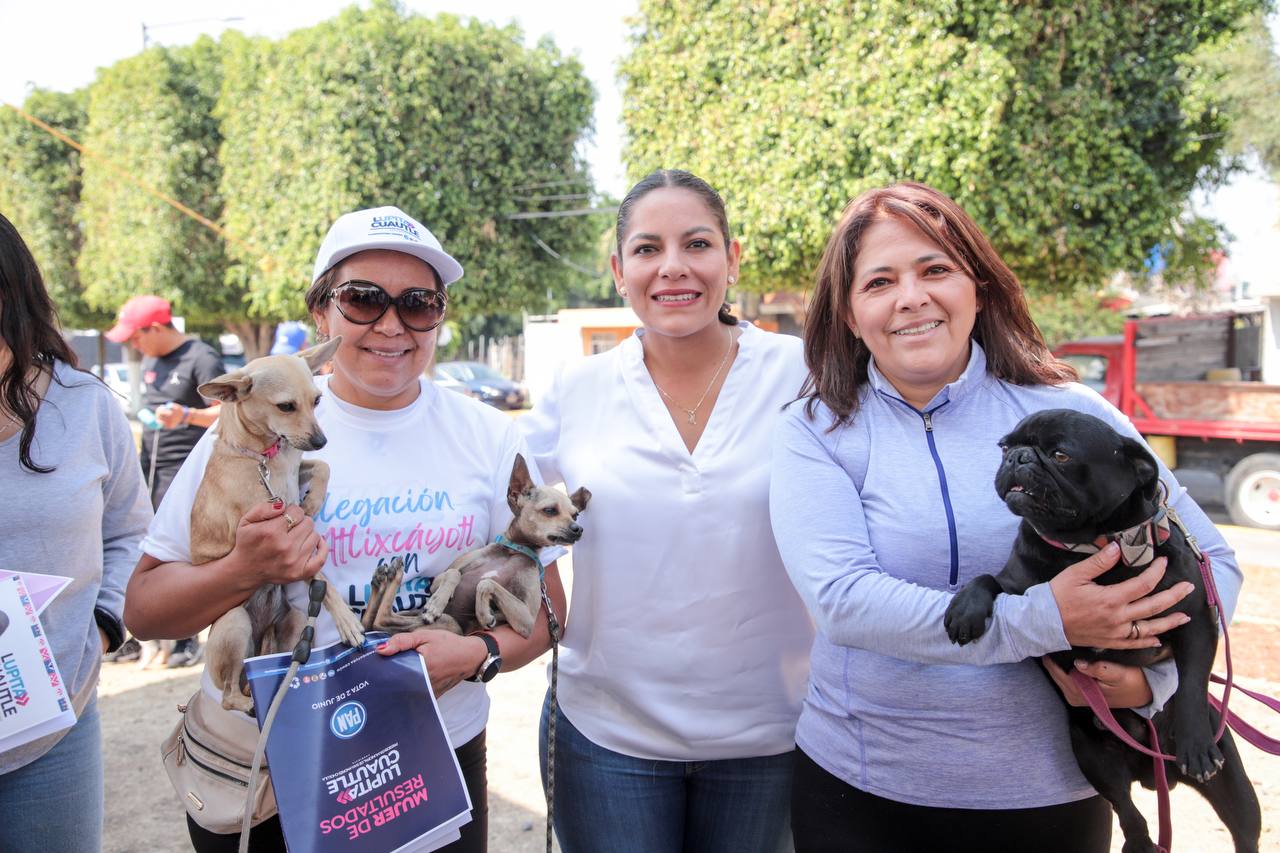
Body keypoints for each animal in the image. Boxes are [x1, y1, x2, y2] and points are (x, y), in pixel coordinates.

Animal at [194, 338, 366, 712]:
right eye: (285, 406)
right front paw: (347, 620)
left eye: (317, 400)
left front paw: (312, 501)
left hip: (295, 625)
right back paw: (249, 705)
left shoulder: (297, 469)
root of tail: (260, 640)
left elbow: (322, 467)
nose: (321, 441)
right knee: (228, 695)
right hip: (235, 622)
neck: (264, 456)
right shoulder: (283, 537)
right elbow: (322, 578)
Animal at [363, 455, 586, 635]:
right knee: (374, 621)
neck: (513, 551)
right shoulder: (435, 582)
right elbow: (455, 573)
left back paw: (388, 577)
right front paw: (436, 603)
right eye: (549, 510)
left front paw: (484, 613)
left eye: (575, 514)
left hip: (448, 624)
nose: (578, 529)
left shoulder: (527, 621)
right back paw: (387, 578)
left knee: (378, 621)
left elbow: (486, 583)